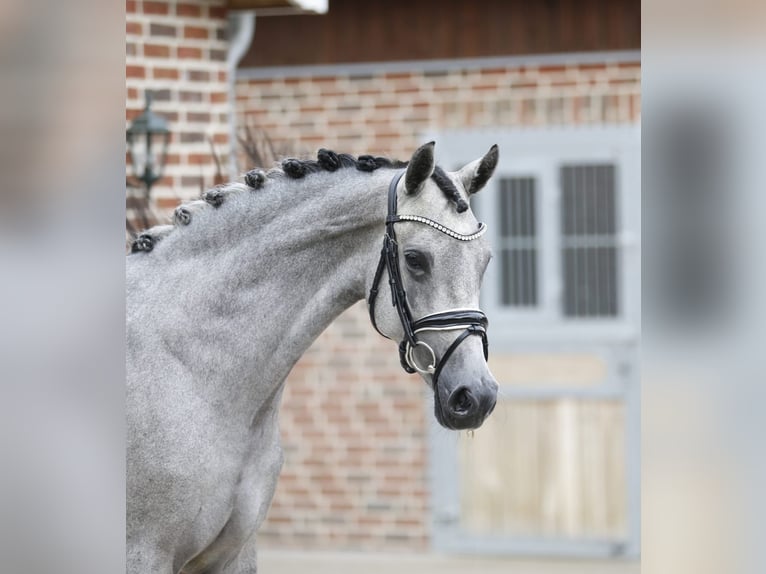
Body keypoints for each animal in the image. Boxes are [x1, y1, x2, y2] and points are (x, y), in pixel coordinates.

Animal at [126, 141, 500, 573]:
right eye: (415, 259)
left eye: (486, 261)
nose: (476, 396)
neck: (192, 370)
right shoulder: (144, 553)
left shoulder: (235, 554)